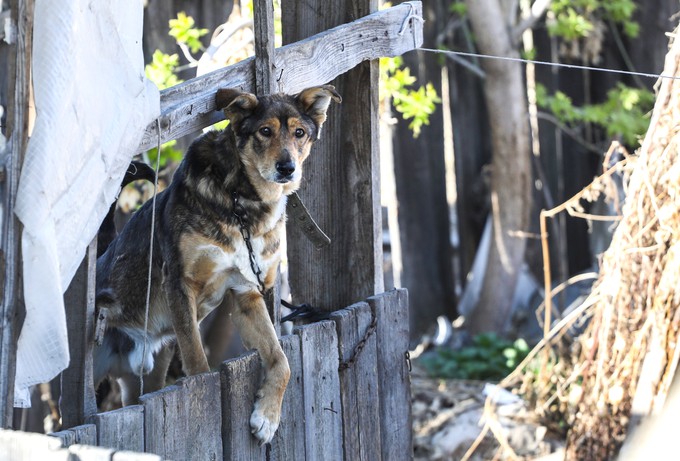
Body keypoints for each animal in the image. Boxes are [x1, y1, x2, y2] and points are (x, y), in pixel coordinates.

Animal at [91, 83, 340, 442]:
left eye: (300, 133)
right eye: (265, 131)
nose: (287, 168)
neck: (241, 201)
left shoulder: (247, 292)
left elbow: (281, 359)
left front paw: (267, 417)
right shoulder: (180, 284)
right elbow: (197, 364)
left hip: (147, 375)